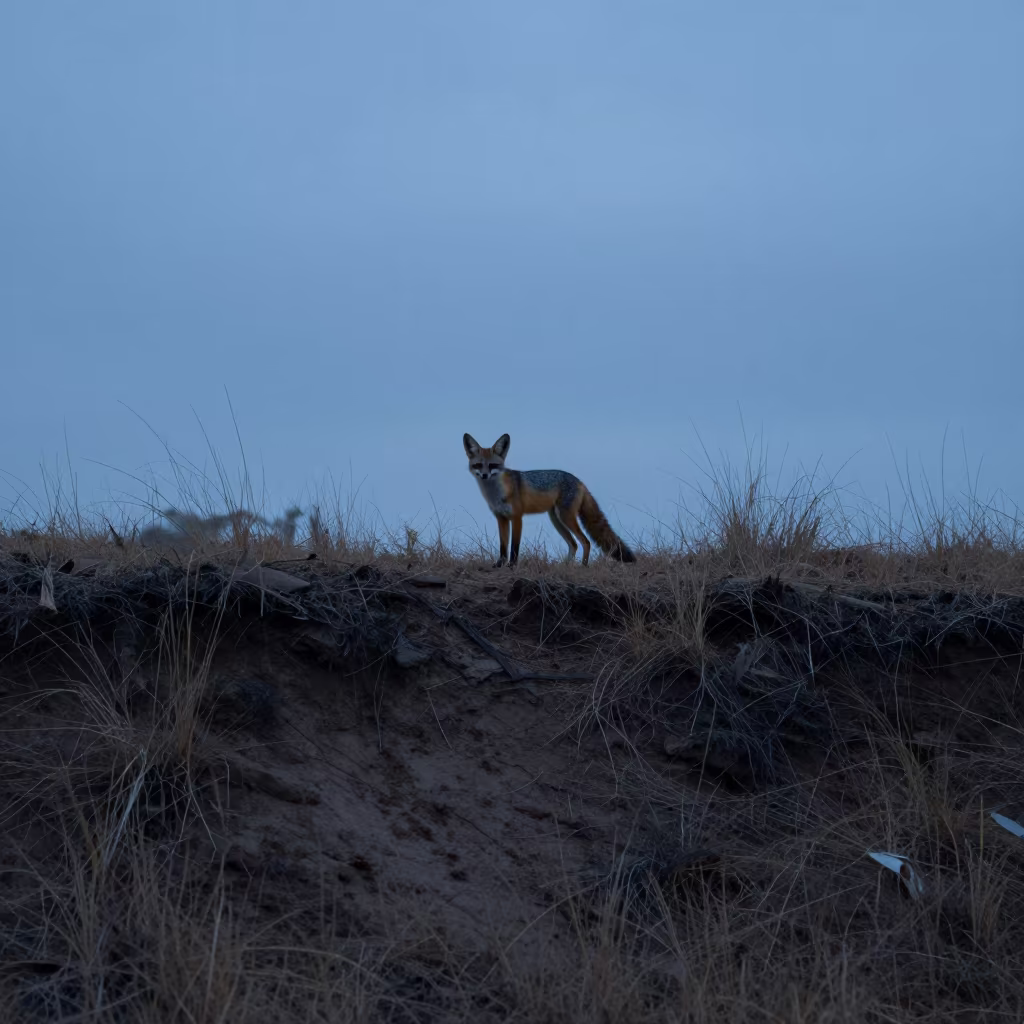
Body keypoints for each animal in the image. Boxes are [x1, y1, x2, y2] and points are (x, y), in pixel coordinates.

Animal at [463, 432, 636, 567]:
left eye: (492, 465)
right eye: (478, 465)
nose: (484, 475)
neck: (496, 494)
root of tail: (579, 480)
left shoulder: (517, 517)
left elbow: (514, 547)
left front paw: (512, 565)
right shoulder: (501, 518)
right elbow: (503, 546)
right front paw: (500, 565)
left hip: (565, 517)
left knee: (585, 541)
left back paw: (583, 566)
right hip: (556, 520)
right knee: (574, 544)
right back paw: (566, 567)